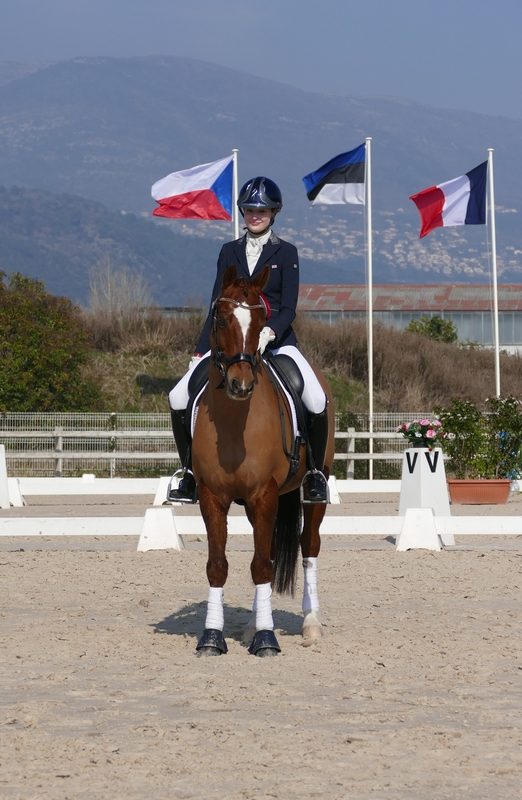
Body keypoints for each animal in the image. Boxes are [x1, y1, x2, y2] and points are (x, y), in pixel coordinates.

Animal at [191, 262, 334, 656]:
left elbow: (261, 567)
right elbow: (218, 565)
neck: (234, 422)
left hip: (312, 488)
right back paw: (252, 625)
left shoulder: (265, 493)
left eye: (259, 322)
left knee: (308, 546)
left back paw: (311, 624)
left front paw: (266, 638)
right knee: (266, 550)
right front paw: (213, 637)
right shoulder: (212, 496)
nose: (241, 385)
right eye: (221, 318)